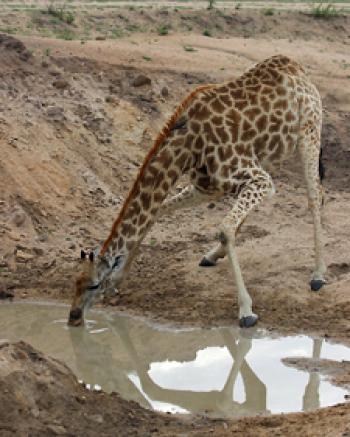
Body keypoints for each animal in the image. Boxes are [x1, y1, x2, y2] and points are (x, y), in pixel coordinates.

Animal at [68, 54, 326, 328]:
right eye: (75, 282)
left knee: (315, 196)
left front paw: (246, 311)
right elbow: (160, 212)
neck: (189, 146)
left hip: (309, 132)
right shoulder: (208, 187)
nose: (73, 317)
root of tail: (295, 66)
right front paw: (118, 282)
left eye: (93, 285)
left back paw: (318, 275)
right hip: (265, 156)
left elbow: (225, 228)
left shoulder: (258, 179)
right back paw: (213, 255)